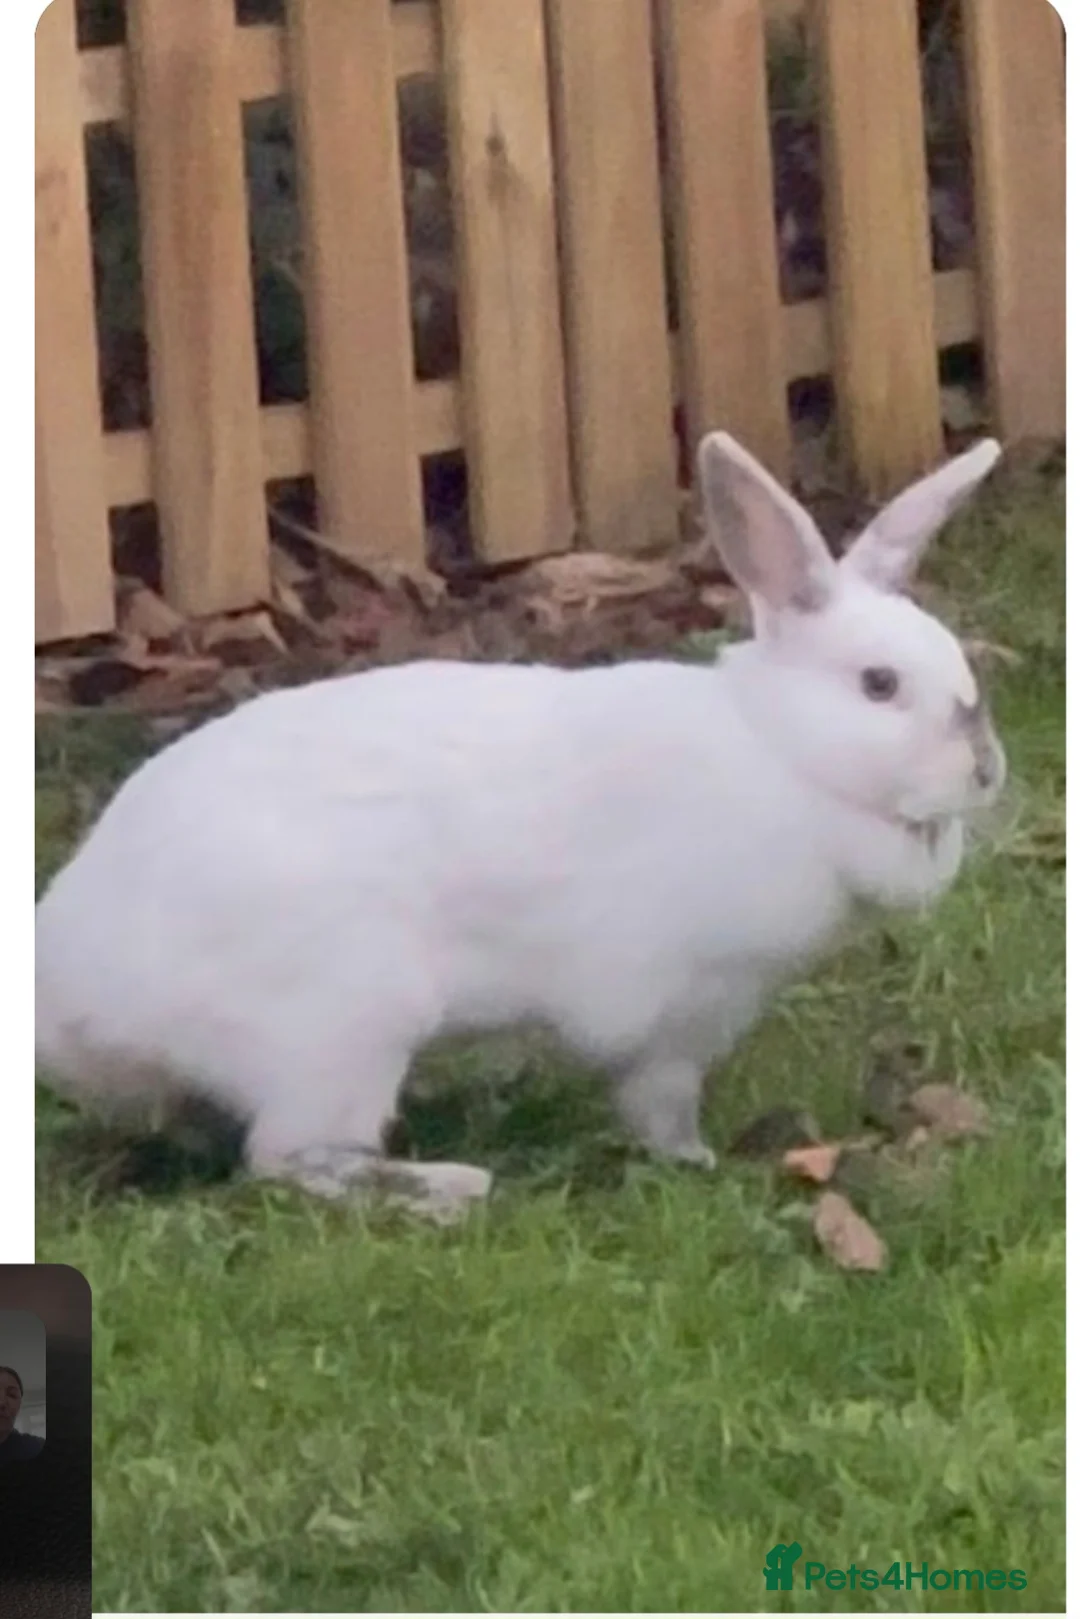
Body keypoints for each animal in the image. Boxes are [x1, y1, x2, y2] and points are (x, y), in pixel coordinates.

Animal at [36, 431, 1006, 1220]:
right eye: (879, 685)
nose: (987, 769)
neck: (783, 753)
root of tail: (69, 990)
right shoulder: (673, 1012)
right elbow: (658, 1099)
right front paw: (693, 1158)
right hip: (341, 1030)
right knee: (288, 1159)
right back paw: (446, 1188)